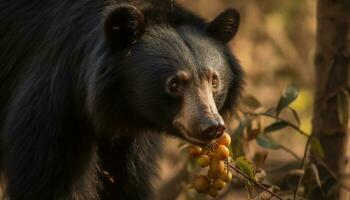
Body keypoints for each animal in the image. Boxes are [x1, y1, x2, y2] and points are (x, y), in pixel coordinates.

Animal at [0, 0, 243, 199]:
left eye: (214, 80)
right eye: (174, 84)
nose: (211, 126)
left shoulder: (130, 137)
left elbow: (128, 180)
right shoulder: (54, 101)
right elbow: (48, 178)